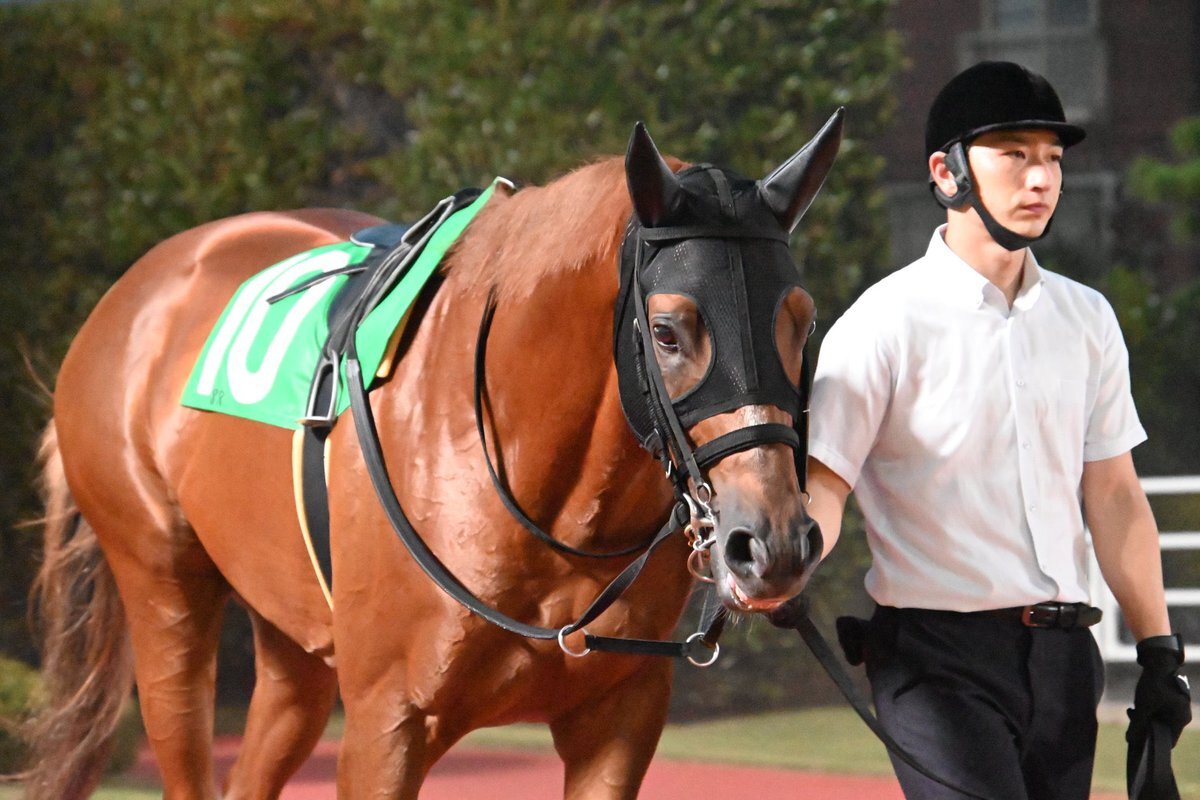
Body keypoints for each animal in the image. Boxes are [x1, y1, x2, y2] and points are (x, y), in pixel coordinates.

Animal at [23, 110, 843, 799]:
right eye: (669, 331)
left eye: (802, 320)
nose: (771, 543)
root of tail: (135, 292)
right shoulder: (388, 723)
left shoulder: (618, 718)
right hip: (164, 595)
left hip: (292, 639)